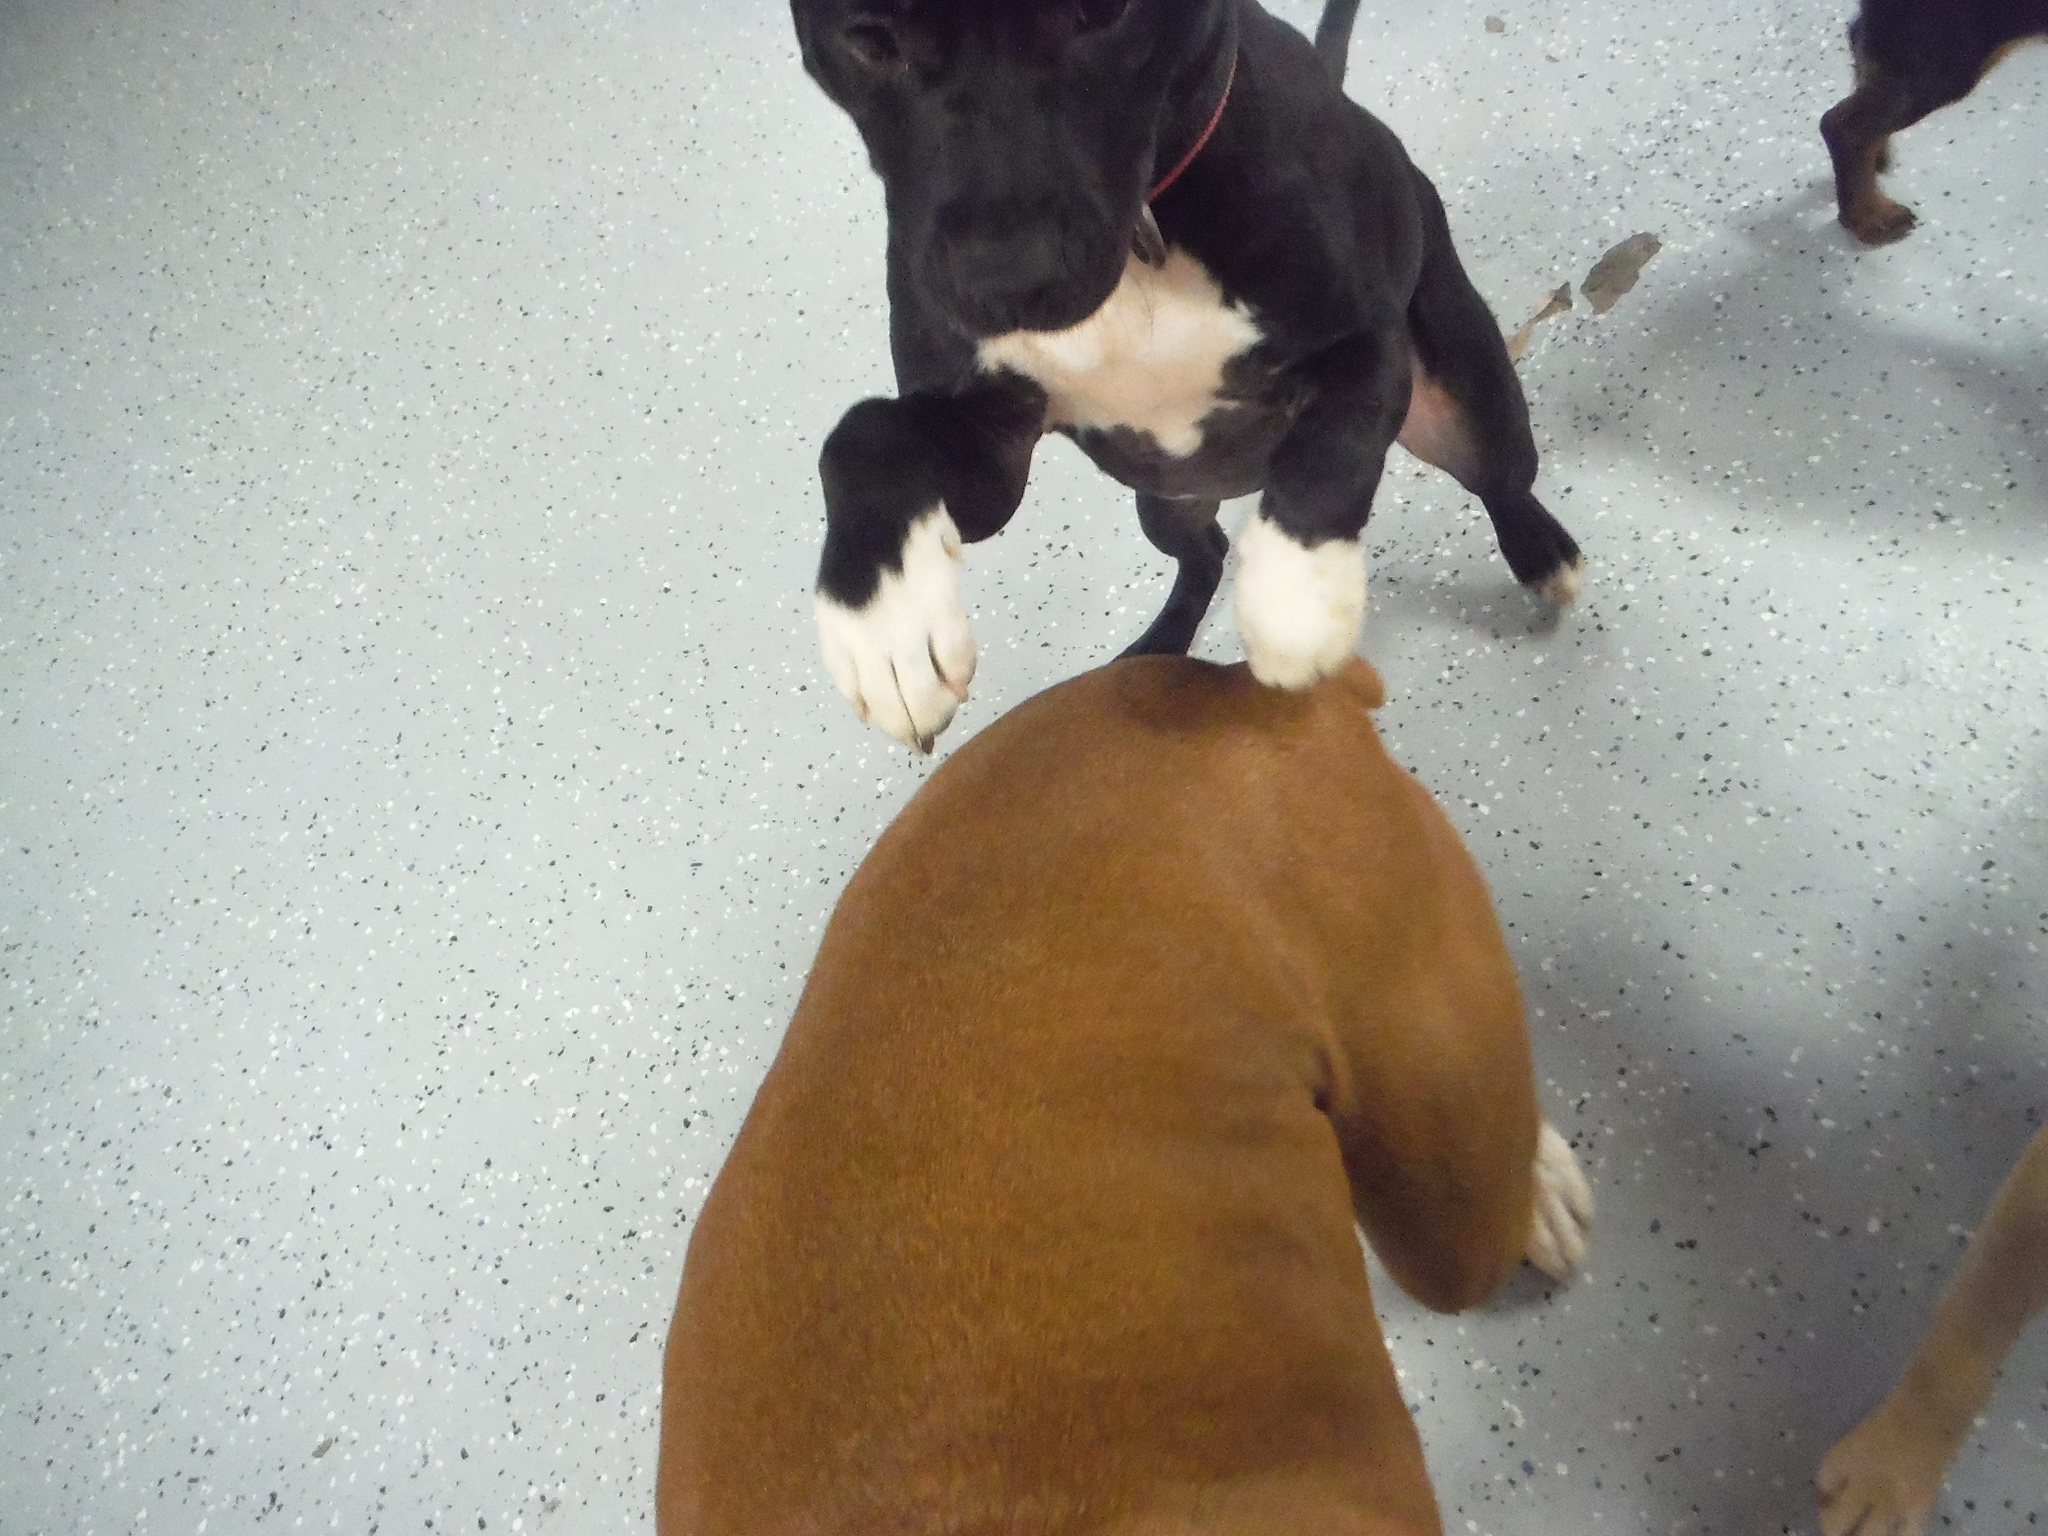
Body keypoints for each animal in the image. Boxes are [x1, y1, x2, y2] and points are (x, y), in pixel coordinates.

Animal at [794, 0, 1581, 753]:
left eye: (1100, 13)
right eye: (868, 38)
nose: (1004, 284)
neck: (1148, 237)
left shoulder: (1366, 348)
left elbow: (1329, 456)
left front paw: (1294, 593)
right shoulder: (992, 457)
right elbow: (860, 433)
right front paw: (882, 619)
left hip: (1470, 409)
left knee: (1502, 481)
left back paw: (1541, 552)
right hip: (1163, 501)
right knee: (1205, 552)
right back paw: (1161, 644)